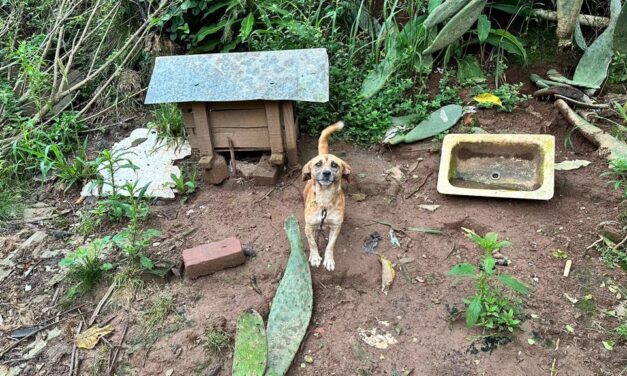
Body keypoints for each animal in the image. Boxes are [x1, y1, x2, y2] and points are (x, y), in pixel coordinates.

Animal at [302, 120, 350, 270]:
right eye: (318, 164)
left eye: (335, 165)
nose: (326, 173)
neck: (325, 199)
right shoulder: (308, 226)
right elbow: (312, 242)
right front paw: (315, 257)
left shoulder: (336, 227)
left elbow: (330, 245)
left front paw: (328, 260)